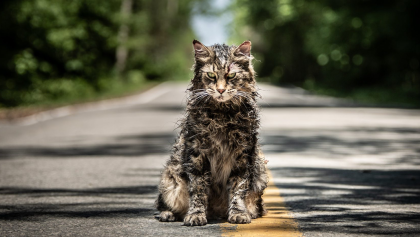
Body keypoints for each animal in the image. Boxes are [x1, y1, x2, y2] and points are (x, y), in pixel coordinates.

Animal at [155, 39, 270, 226]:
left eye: (231, 76)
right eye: (211, 75)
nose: (221, 90)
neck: (222, 115)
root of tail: (215, 213)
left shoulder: (243, 155)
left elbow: (238, 188)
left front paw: (238, 213)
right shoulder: (197, 154)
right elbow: (198, 190)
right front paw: (196, 215)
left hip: (260, 172)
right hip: (170, 178)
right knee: (164, 204)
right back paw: (168, 214)